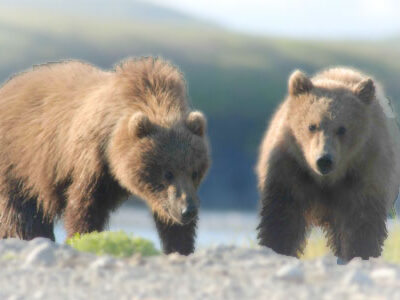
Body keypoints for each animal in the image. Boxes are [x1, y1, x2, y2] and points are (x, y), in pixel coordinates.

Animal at [0, 57, 211, 254]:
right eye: (167, 173)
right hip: (18, 162)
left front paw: (181, 247)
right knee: (21, 213)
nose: (188, 210)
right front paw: (82, 237)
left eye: (195, 172)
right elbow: (85, 205)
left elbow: (170, 221)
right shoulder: (92, 160)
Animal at [256, 67, 400, 262]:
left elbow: (362, 222)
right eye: (312, 126)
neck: (326, 180)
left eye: (342, 129)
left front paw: (361, 253)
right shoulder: (290, 168)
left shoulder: (365, 171)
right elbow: (283, 215)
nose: (324, 159)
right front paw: (277, 248)